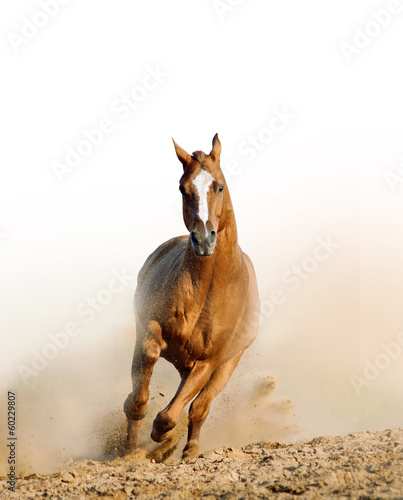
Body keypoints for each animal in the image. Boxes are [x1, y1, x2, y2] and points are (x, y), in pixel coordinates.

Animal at [124, 135, 260, 458]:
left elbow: (176, 413)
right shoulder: (150, 329)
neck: (206, 291)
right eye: (183, 188)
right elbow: (149, 355)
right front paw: (140, 417)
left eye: (219, 186)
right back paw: (132, 447)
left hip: (227, 364)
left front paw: (162, 435)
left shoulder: (209, 362)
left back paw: (189, 449)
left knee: (199, 407)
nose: (203, 239)